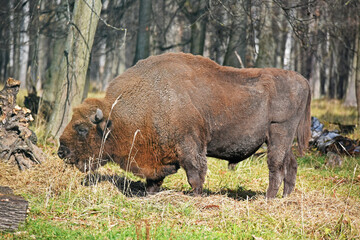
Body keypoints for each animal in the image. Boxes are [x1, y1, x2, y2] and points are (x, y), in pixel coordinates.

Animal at [58, 53, 310, 199]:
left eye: (82, 128)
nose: (61, 151)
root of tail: (303, 80)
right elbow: (154, 179)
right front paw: (150, 195)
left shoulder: (189, 146)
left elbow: (195, 174)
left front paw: (196, 197)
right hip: (281, 139)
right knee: (290, 164)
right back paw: (285, 197)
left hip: (278, 134)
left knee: (275, 167)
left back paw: (268, 198)